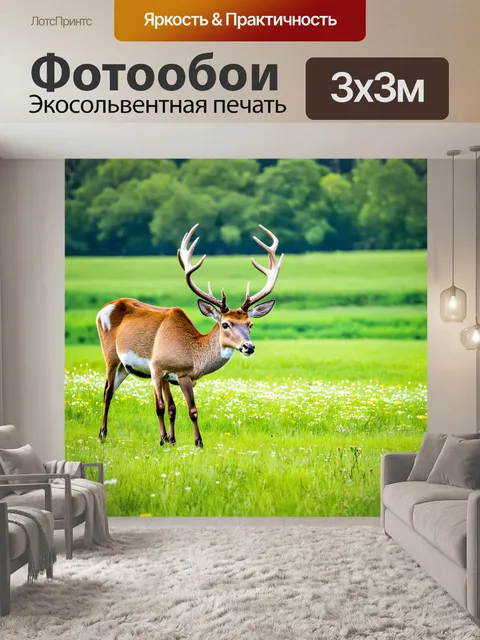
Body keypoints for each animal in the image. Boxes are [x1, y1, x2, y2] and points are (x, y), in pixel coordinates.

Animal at [96, 224, 284, 448]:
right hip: (111, 356)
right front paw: (170, 440)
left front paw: (175, 440)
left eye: (250, 324)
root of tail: (104, 308)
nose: (248, 346)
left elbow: (178, 408)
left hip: (125, 367)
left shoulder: (178, 376)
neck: (192, 354)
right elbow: (162, 407)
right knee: (107, 392)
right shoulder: (157, 367)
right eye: (225, 324)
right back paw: (102, 434)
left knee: (111, 390)